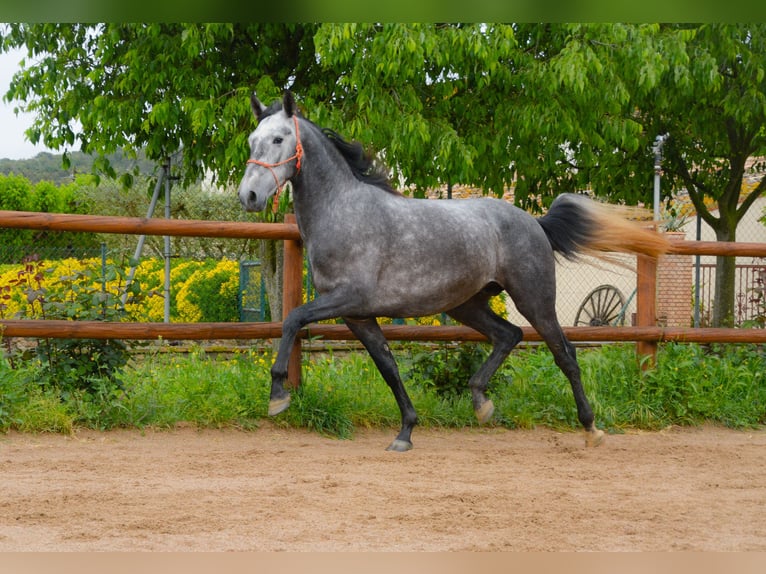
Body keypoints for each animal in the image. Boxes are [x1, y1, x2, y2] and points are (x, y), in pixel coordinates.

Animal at [238, 90, 670, 452]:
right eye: (251, 140)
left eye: (278, 140)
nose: (249, 196)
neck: (344, 212)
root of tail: (534, 222)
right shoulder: (357, 315)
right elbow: (388, 366)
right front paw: (406, 432)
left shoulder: (348, 298)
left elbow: (293, 319)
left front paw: (277, 396)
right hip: (467, 304)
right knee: (508, 335)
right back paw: (481, 401)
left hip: (534, 299)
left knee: (564, 353)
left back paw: (591, 428)